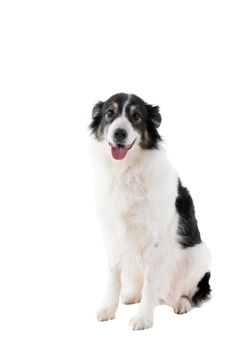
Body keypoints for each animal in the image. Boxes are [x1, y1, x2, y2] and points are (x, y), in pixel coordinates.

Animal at [88, 93, 211, 330]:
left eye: (136, 116)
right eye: (109, 113)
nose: (119, 133)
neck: (126, 170)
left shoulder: (156, 239)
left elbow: (151, 282)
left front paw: (143, 318)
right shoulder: (113, 236)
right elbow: (113, 277)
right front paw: (108, 309)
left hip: (199, 255)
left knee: (187, 292)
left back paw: (181, 303)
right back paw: (132, 295)